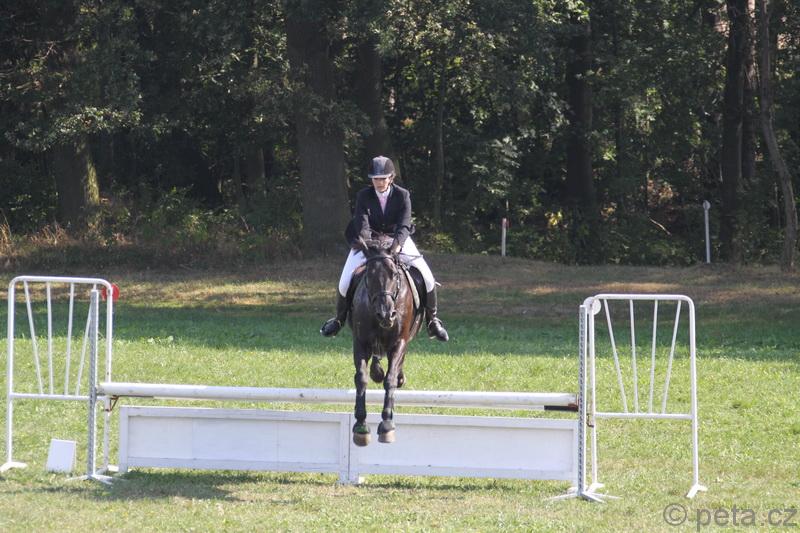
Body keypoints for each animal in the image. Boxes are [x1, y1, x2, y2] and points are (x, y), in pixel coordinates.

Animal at [349, 235, 424, 446]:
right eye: (369, 275)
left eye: (394, 274)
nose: (386, 315)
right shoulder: (360, 342)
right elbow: (361, 378)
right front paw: (360, 425)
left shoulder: (399, 342)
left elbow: (389, 379)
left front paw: (387, 424)